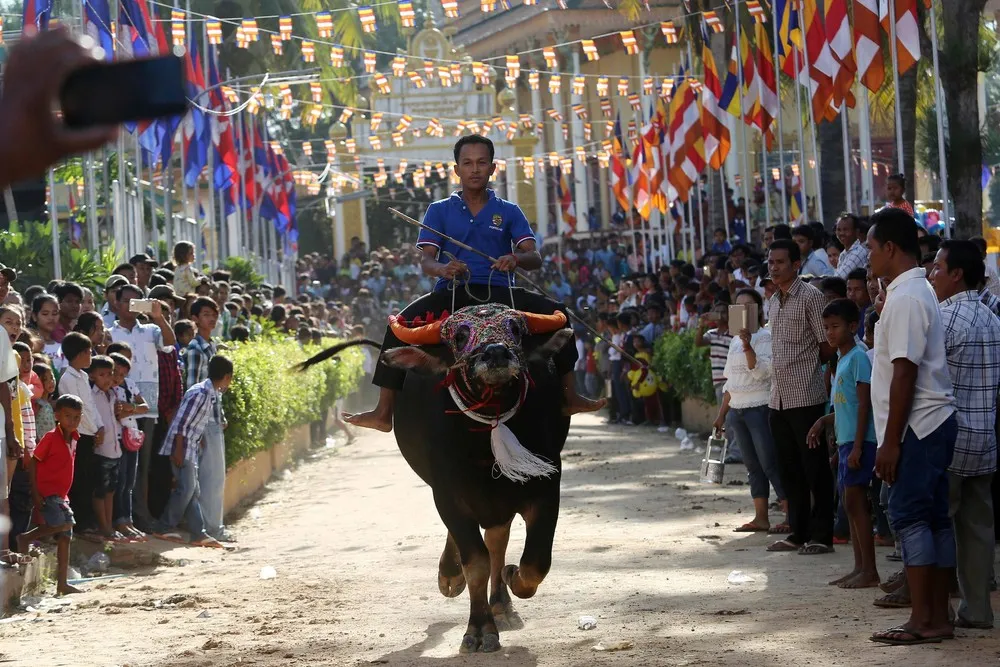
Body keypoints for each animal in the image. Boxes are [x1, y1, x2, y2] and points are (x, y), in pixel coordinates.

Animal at [298, 304, 572, 656]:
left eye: (515, 329)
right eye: (460, 336)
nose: (496, 353)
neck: (484, 437)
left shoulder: (545, 485)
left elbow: (535, 562)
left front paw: (513, 579)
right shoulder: (448, 493)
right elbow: (476, 563)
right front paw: (479, 630)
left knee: (497, 542)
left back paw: (501, 602)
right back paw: (451, 576)